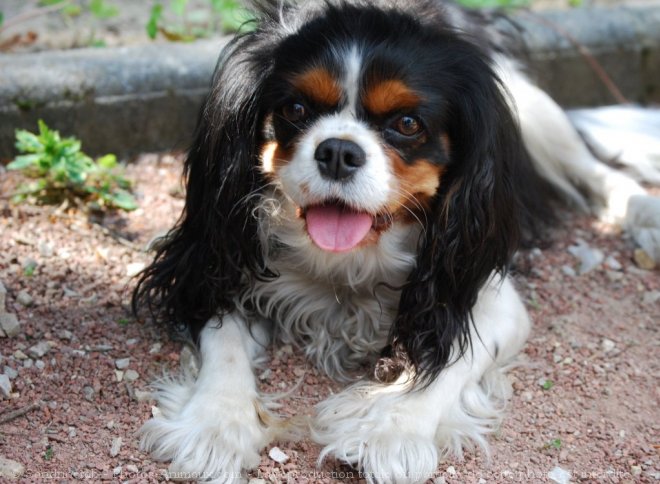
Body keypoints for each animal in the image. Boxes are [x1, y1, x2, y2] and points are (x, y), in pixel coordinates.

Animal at [133, 1, 660, 482]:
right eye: (296, 109)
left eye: (408, 124)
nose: (338, 151)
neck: (348, 262)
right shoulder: (216, 260)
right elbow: (223, 344)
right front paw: (216, 426)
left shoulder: (481, 293)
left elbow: (451, 357)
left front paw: (391, 431)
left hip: (535, 111)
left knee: (595, 168)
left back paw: (644, 214)